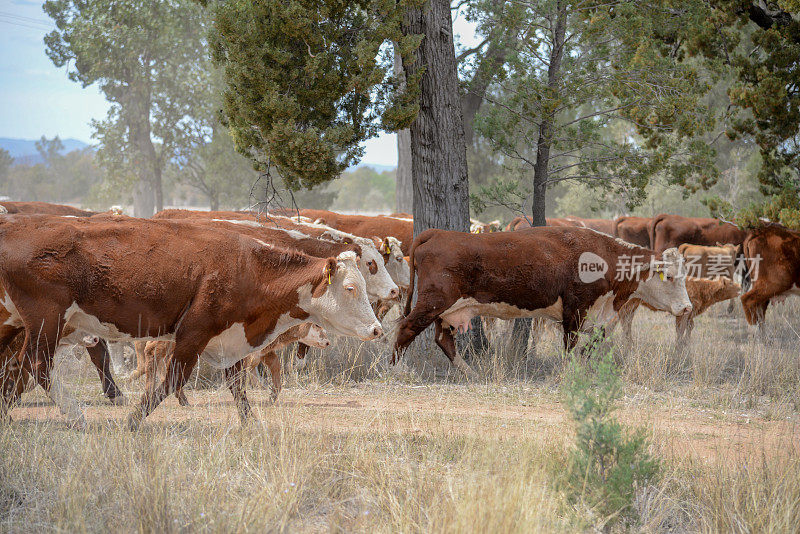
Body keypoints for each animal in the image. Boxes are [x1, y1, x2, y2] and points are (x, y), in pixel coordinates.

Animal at [0, 216, 382, 430]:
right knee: (36, 364)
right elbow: (172, 379)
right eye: (351, 288)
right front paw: (133, 420)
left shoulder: (230, 341)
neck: (248, 268)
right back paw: (75, 416)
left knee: (17, 365)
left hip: (16, 322)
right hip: (46, 321)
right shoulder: (193, 334)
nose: (377, 329)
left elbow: (238, 386)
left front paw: (252, 424)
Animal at [396, 228, 692, 374]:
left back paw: (470, 373)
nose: (687, 307)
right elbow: (571, 345)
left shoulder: (599, 317)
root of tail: (437, 233)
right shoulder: (574, 311)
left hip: (445, 312)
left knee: (443, 339)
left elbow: (591, 345)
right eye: (669, 276)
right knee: (406, 328)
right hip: (433, 302)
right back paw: (396, 370)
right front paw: (569, 372)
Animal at [612, 278, 744, 350]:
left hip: (634, 303)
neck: (701, 287)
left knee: (627, 319)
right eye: (731, 283)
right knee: (624, 318)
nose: (740, 287)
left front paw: (686, 343)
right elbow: (681, 328)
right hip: (630, 302)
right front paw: (679, 345)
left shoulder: (690, 314)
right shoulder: (683, 314)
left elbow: (689, 326)